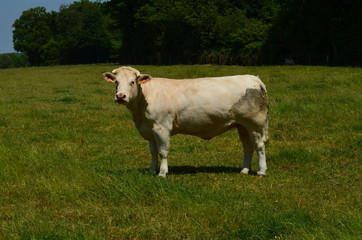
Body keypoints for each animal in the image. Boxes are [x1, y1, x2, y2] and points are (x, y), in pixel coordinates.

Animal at [102, 66, 268, 177]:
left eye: (132, 82)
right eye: (116, 82)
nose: (120, 96)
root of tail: (255, 79)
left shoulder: (161, 127)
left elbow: (163, 151)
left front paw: (162, 172)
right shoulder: (150, 130)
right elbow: (153, 152)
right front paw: (152, 170)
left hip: (255, 124)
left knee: (259, 146)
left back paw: (261, 171)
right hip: (242, 125)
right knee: (247, 147)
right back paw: (244, 170)